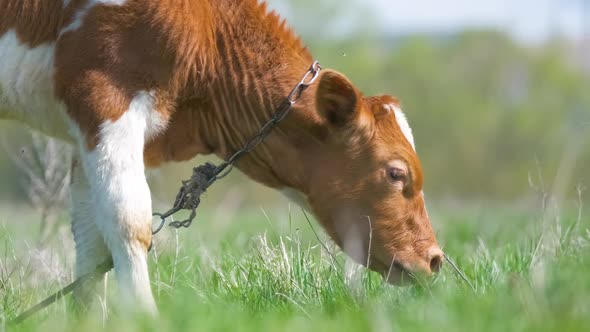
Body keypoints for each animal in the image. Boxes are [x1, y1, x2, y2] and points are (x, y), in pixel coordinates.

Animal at [0, 0, 444, 314]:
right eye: (396, 173)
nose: (436, 259)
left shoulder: (83, 132)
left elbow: (91, 241)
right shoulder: (104, 96)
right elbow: (129, 221)